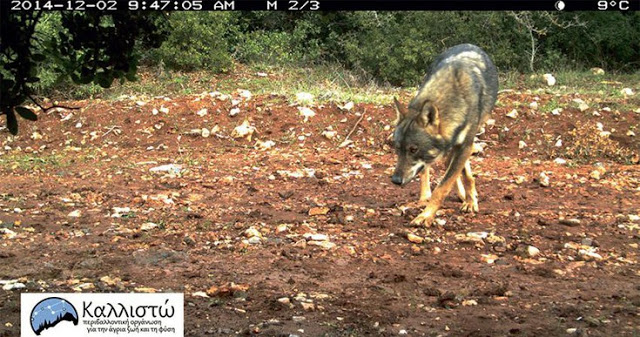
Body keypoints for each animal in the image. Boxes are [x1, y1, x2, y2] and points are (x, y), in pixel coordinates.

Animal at [390, 43, 500, 224]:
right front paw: (427, 209)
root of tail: (468, 43)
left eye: (413, 149)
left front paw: (426, 216)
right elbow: (446, 178)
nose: (395, 180)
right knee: (432, 170)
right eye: (397, 148)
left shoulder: (465, 146)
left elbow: (444, 186)